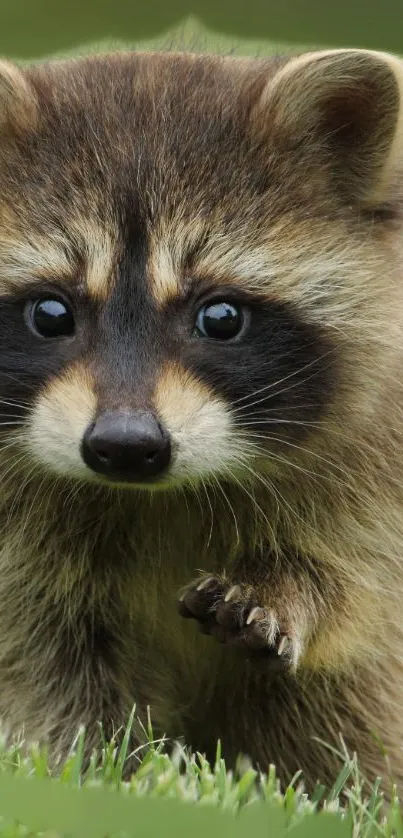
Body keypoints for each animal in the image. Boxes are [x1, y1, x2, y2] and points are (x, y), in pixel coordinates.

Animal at [0, 46, 403, 796]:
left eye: (220, 317)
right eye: (50, 313)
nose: (125, 446)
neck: (155, 497)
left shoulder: (376, 459)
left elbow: (359, 584)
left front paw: (290, 588)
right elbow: (46, 663)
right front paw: (99, 774)